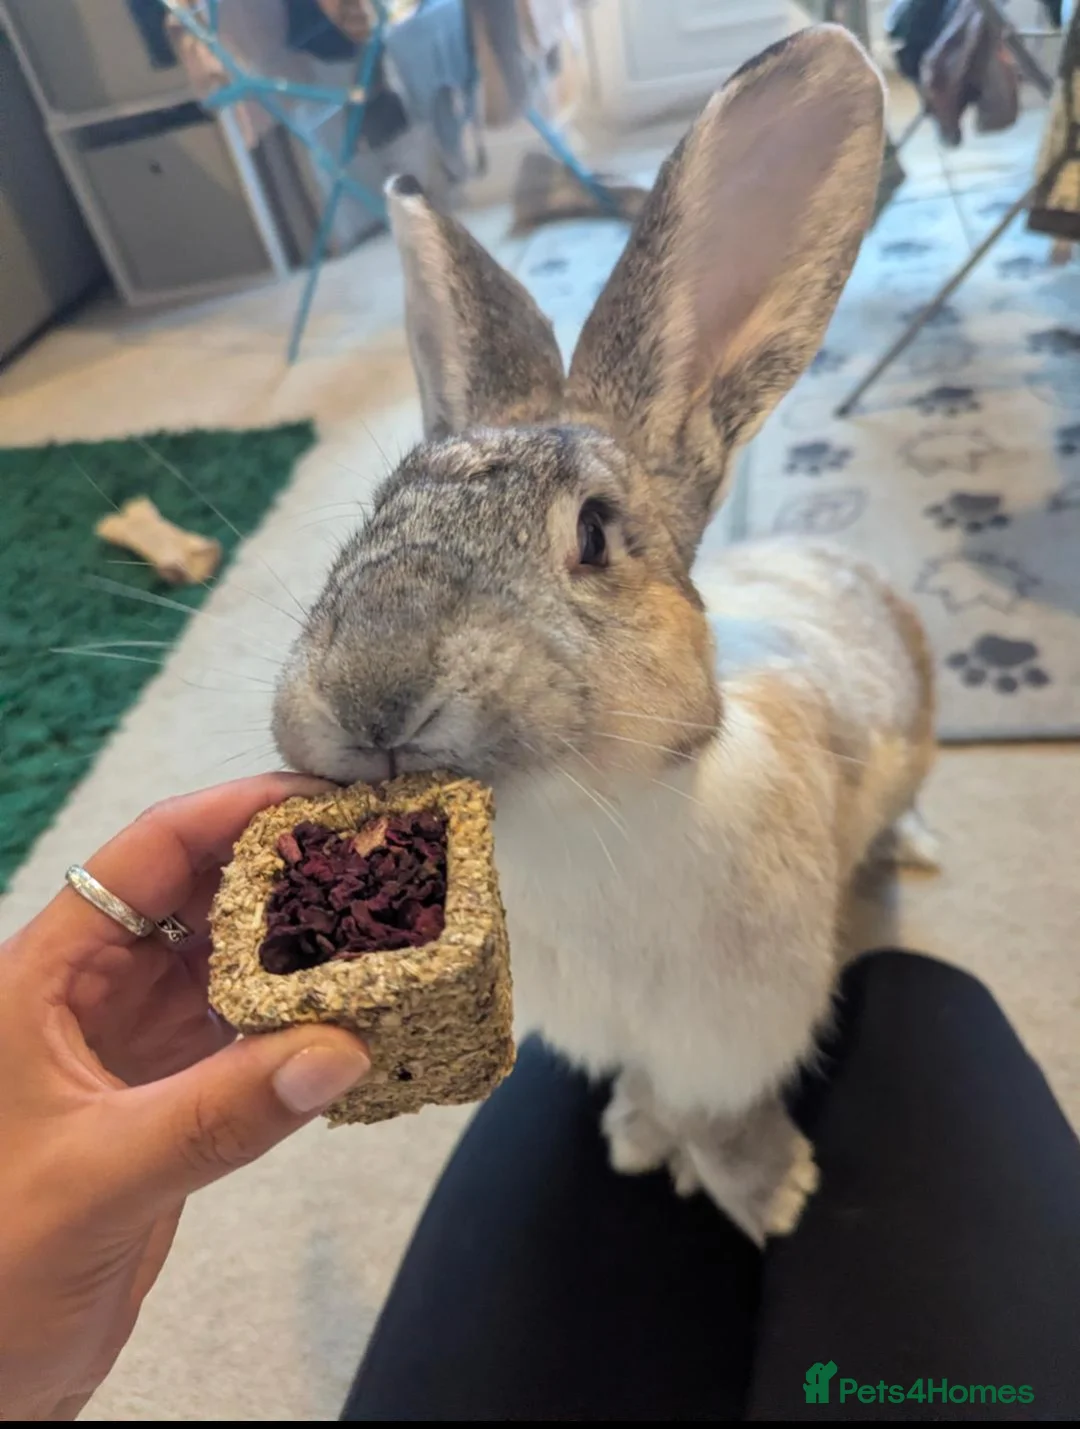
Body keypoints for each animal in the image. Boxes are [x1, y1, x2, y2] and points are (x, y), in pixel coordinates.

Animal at [272, 24, 936, 1245]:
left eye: (592, 533)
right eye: (378, 510)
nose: (372, 695)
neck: (574, 820)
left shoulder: (737, 1035)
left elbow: (721, 1116)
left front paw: (767, 1193)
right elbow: (649, 1091)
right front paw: (637, 1138)